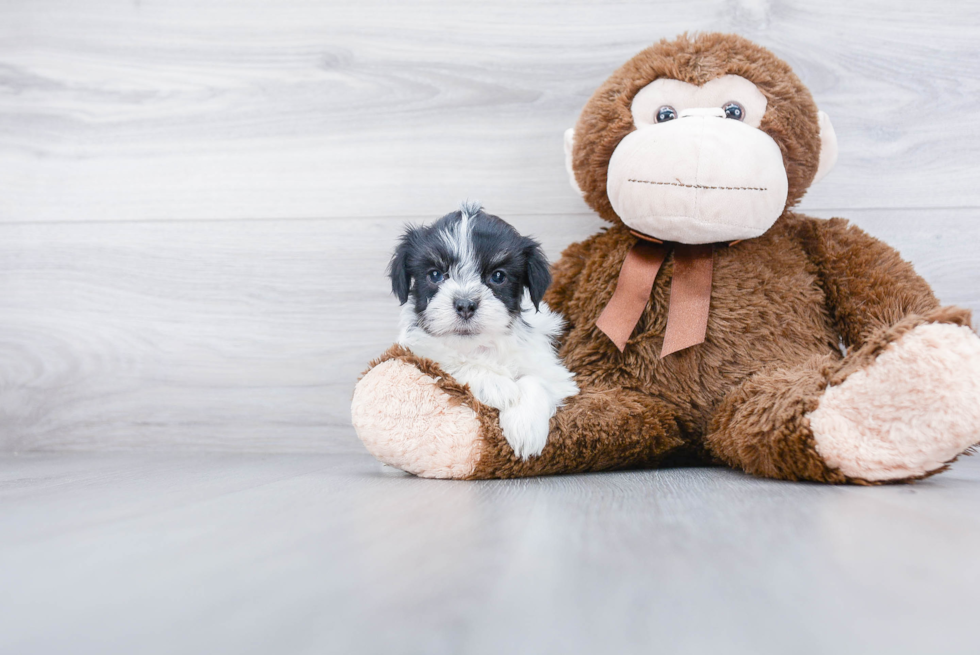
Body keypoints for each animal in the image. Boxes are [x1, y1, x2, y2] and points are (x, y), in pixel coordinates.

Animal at [386, 202, 580, 458]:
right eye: (435, 275)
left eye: (498, 276)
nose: (465, 305)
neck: (479, 346)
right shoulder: (417, 351)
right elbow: (452, 363)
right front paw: (497, 385)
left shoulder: (552, 369)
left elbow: (535, 379)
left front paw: (525, 426)